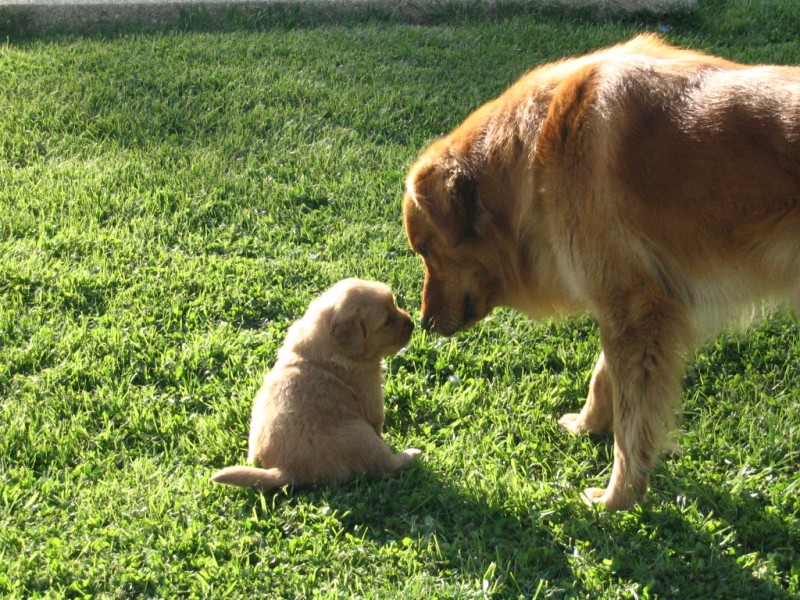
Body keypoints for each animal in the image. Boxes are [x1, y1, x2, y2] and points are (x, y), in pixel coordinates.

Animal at [212, 278, 422, 490]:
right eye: (387, 321)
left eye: (394, 304)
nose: (412, 324)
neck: (329, 347)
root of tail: (285, 471)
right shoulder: (372, 397)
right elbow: (379, 425)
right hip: (360, 434)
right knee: (386, 465)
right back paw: (412, 454)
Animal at [404, 35, 800, 508]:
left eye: (425, 249)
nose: (423, 323)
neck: (536, 149)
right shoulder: (628, 303)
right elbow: (603, 374)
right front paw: (587, 426)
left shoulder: (634, 307)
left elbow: (633, 419)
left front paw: (619, 496)